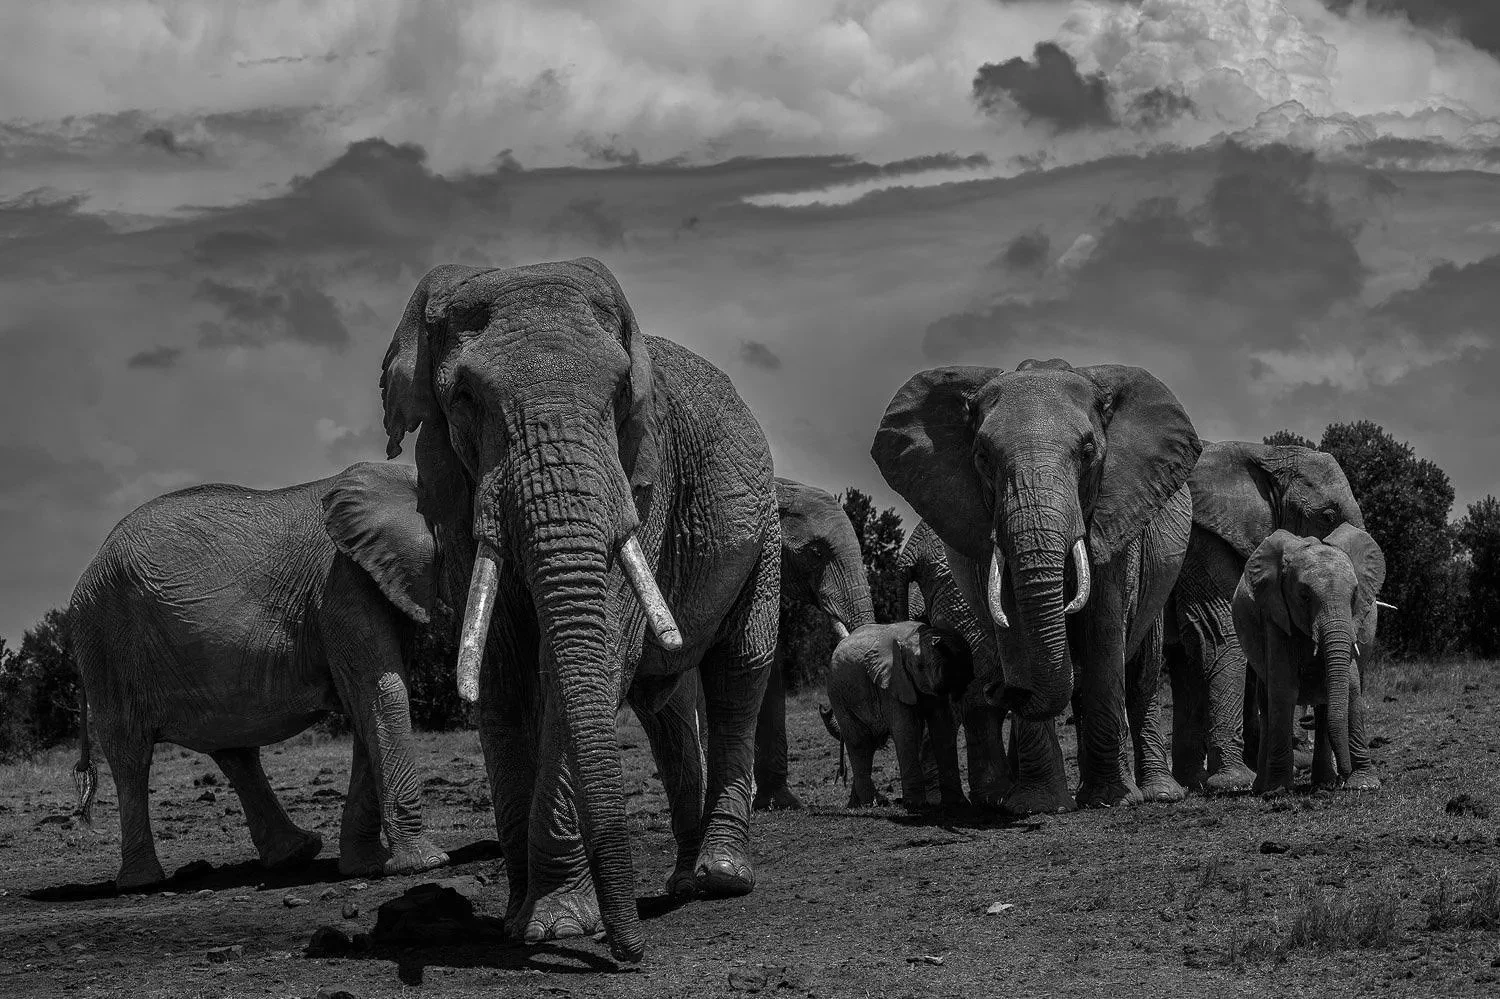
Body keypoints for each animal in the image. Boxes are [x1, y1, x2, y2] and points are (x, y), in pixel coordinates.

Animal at [67, 462, 449, 890]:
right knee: (130, 751)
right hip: (105, 639)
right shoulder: (341, 585)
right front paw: (425, 864)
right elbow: (379, 692)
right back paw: (143, 883)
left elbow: (370, 702)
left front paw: (366, 866)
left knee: (230, 745)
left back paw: (296, 853)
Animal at [378, 256, 780, 963]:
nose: (631, 954)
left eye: (620, 393)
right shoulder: (453, 488)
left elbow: (589, 664)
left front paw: (558, 927)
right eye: (464, 399)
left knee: (740, 669)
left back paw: (721, 878)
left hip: (764, 528)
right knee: (664, 702)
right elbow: (503, 674)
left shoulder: (642, 481)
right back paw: (681, 881)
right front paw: (524, 922)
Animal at [819, 621, 974, 809]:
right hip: (838, 694)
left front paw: (957, 803)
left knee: (868, 744)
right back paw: (871, 804)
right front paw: (916, 805)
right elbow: (904, 729)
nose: (939, 640)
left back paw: (860, 804)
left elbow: (942, 726)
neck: (909, 638)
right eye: (919, 666)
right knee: (859, 741)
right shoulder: (890, 684)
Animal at [1163, 441, 1366, 792]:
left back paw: (1190, 782)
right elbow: (1218, 633)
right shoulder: (1200, 538)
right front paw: (1236, 782)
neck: (1267, 454)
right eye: (1327, 516)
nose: (1344, 778)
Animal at [1230, 524, 1386, 793]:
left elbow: (1352, 688)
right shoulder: (1275, 615)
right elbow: (1283, 689)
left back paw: (1324, 782)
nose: (1343, 778)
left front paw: (1364, 785)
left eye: (1354, 596)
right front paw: (1278, 790)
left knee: (1324, 704)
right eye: (1304, 597)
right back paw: (1263, 787)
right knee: (1267, 702)